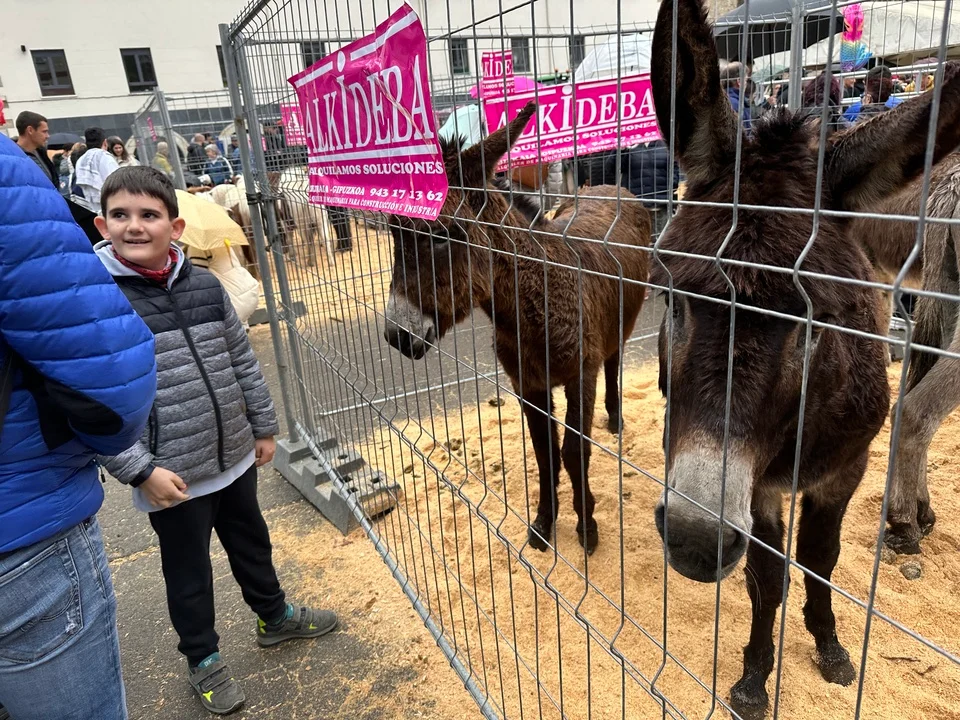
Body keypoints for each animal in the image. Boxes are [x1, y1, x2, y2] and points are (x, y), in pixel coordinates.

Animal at [383, 103, 651, 554]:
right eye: (392, 235)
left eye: (442, 235)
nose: (396, 336)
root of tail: (610, 187)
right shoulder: (528, 384)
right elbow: (545, 452)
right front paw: (543, 525)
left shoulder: (581, 374)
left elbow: (573, 451)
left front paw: (587, 526)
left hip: (623, 320)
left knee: (614, 360)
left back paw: (615, 420)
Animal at [648, 0, 960, 716]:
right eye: (671, 297)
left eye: (812, 324)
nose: (695, 540)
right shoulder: (757, 483)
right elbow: (767, 577)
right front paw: (755, 677)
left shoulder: (844, 465)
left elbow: (821, 560)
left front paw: (830, 646)